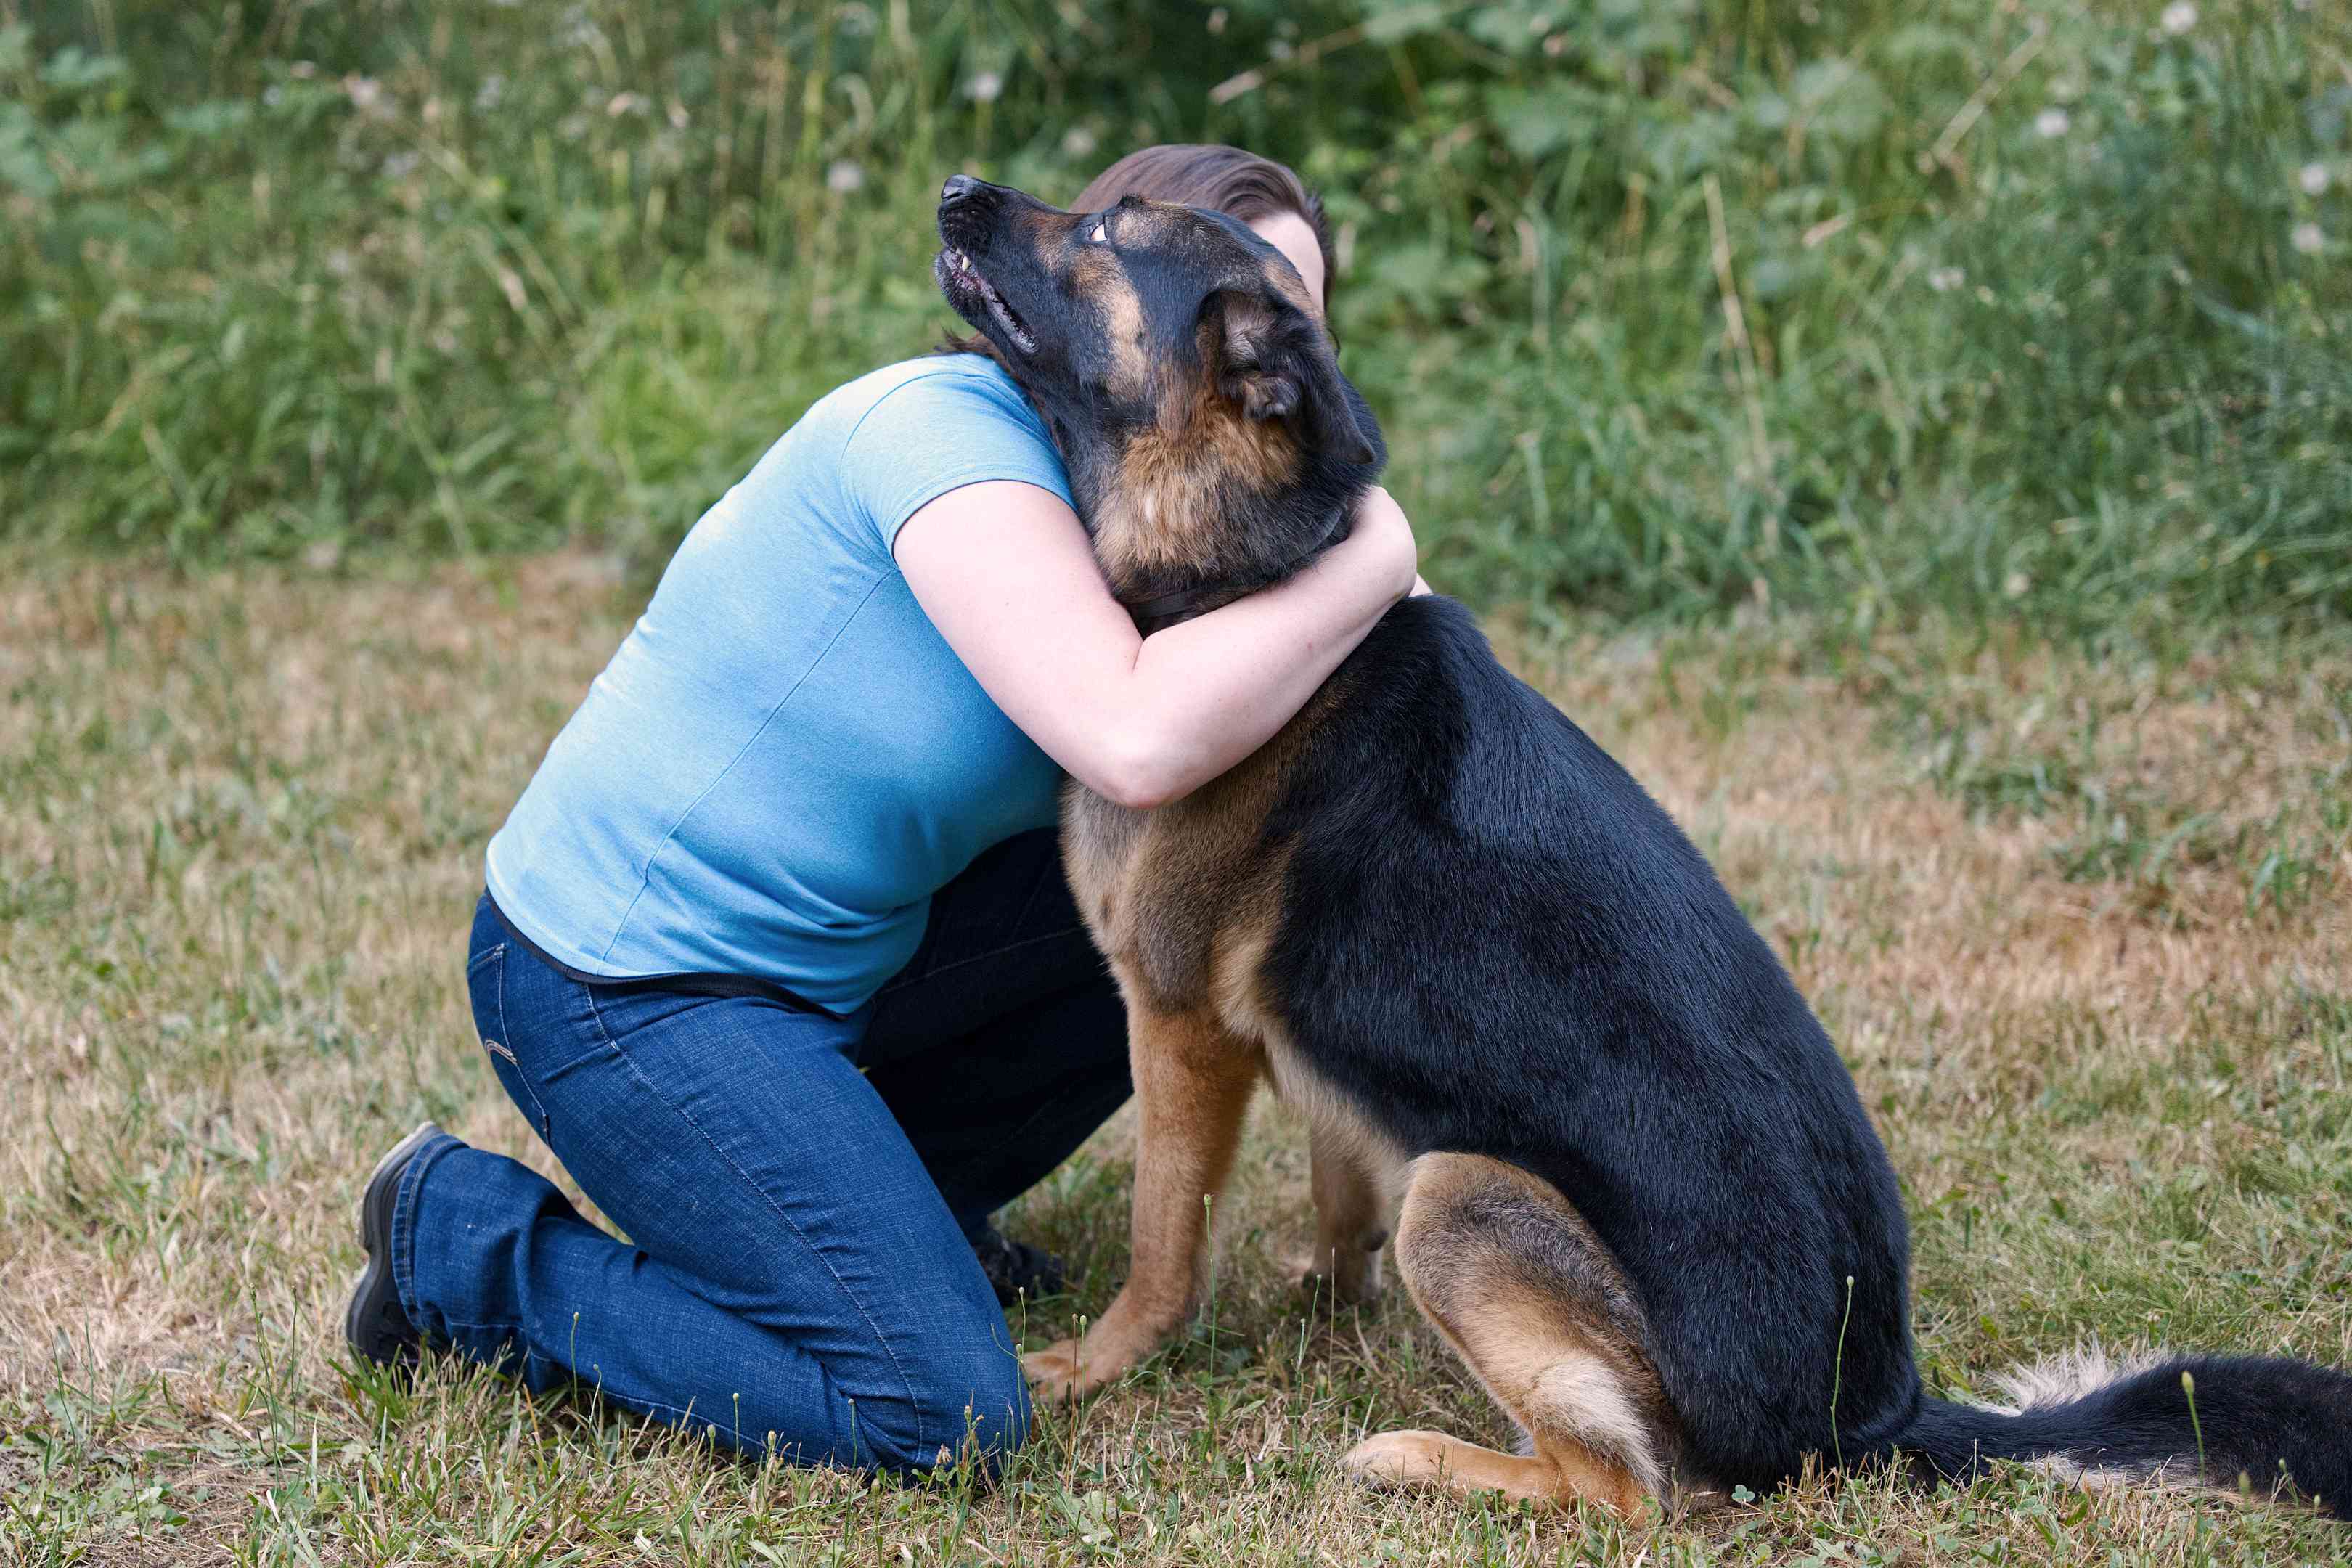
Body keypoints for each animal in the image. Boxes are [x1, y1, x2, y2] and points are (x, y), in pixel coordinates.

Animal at [931, 175, 2352, 1523]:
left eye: (1108, 227)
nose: (956, 191)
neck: (1233, 586)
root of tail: (1873, 1417)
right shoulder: (1317, 1057)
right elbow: (1336, 1193)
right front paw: (1324, 1301)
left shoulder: (1176, 1024)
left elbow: (1164, 1246)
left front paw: (1096, 1365)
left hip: (1462, 1195)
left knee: (1627, 1487)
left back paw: (1422, 1459)